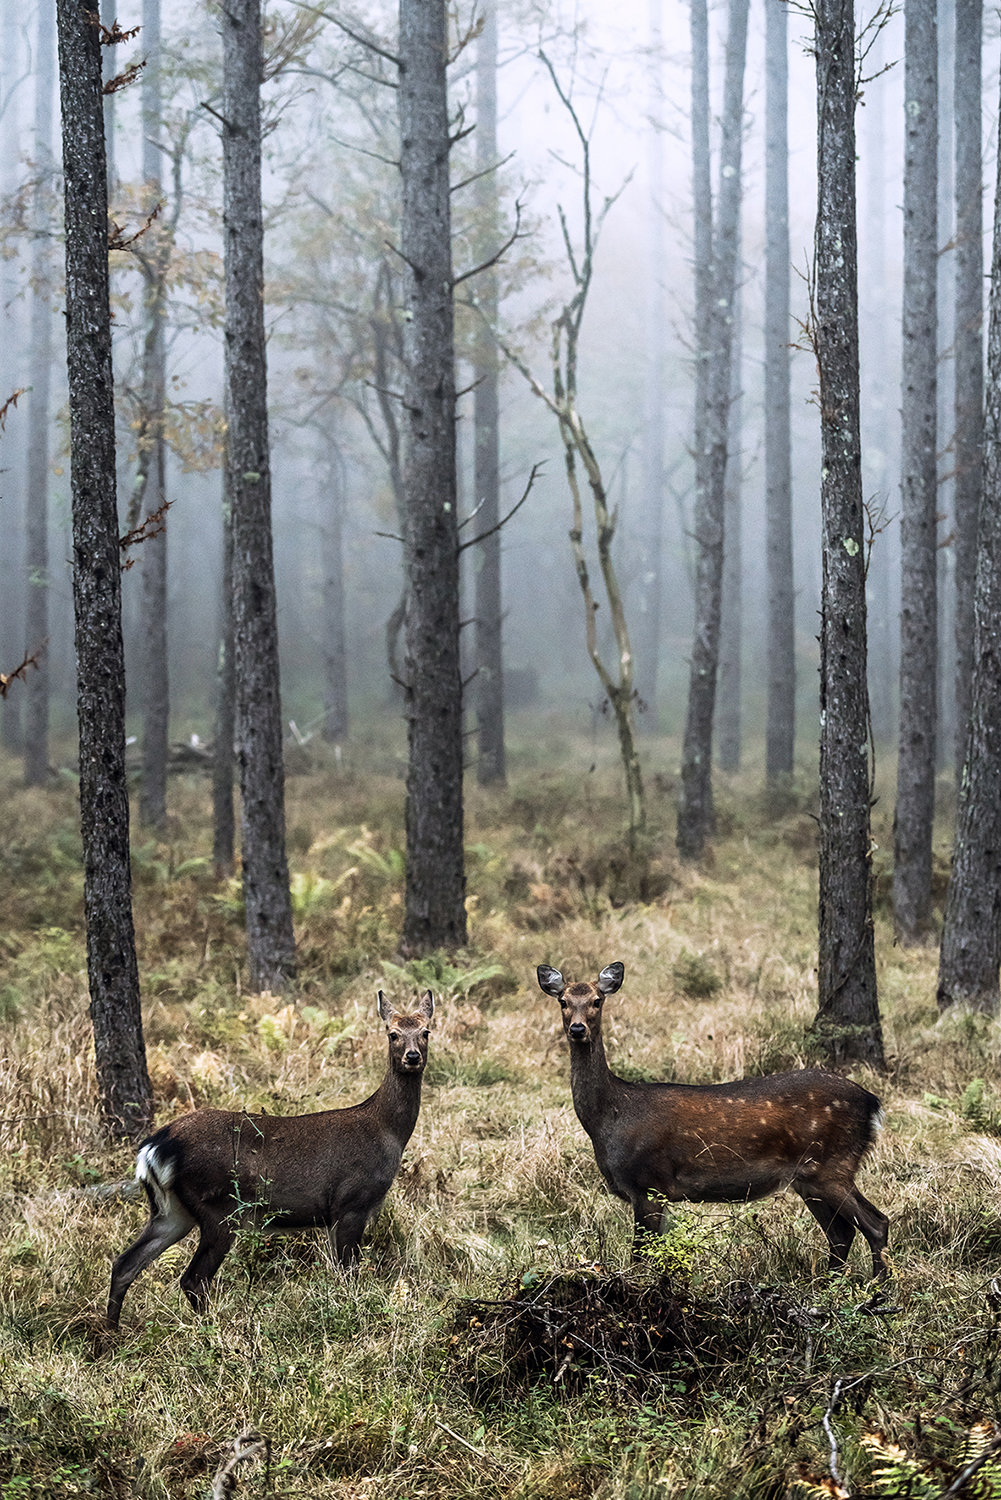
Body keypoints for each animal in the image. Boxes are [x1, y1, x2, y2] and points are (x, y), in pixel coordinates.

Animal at [106, 990, 435, 1332]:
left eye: (426, 1031)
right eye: (392, 1034)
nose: (412, 1057)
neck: (386, 1131)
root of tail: (155, 1146)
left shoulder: (333, 1215)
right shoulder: (351, 1203)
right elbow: (349, 1274)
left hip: (172, 1210)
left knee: (125, 1263)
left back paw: (111, 1335)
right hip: (219, 1208)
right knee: (193, 1279)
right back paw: (213, 1330)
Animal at [540, 966, 894, 1284]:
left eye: (597, 1000)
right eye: (563, 1000)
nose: (577, 1029)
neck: (610, 1119)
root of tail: (871, 1102)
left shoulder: (648, 1185)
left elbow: (641, 1260)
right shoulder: (656, 1193)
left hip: (831, 1164)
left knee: (875, 1224)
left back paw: (876, 1295)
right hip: (809, 1178)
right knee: (841, 1233)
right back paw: (828, 1290)